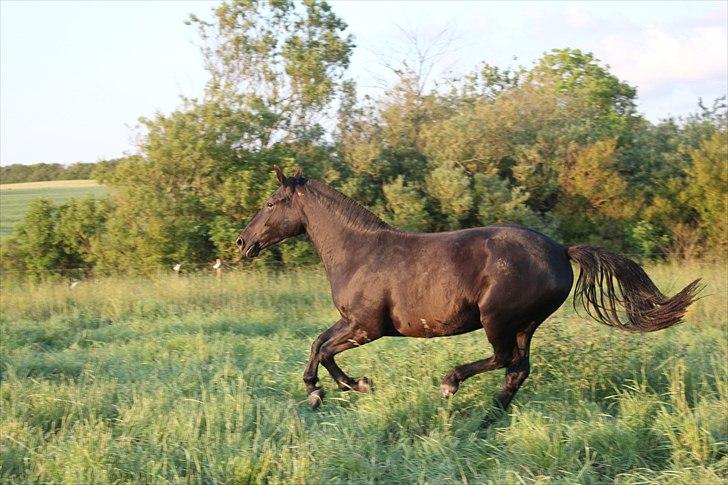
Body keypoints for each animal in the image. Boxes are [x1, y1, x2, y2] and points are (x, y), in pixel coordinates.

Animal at [236, 165, 704, 412]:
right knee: (518, 369)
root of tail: (560, 249)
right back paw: (492, 414)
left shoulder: (367, 326)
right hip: (524, 324)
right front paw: (350, 386)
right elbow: (319, 344)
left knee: (504, 360)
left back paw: (451, 384)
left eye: (271, 203)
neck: (358, 251)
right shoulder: (353, 323)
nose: (243, 242)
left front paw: (324, 390)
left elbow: (323, 349)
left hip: (497, 319)